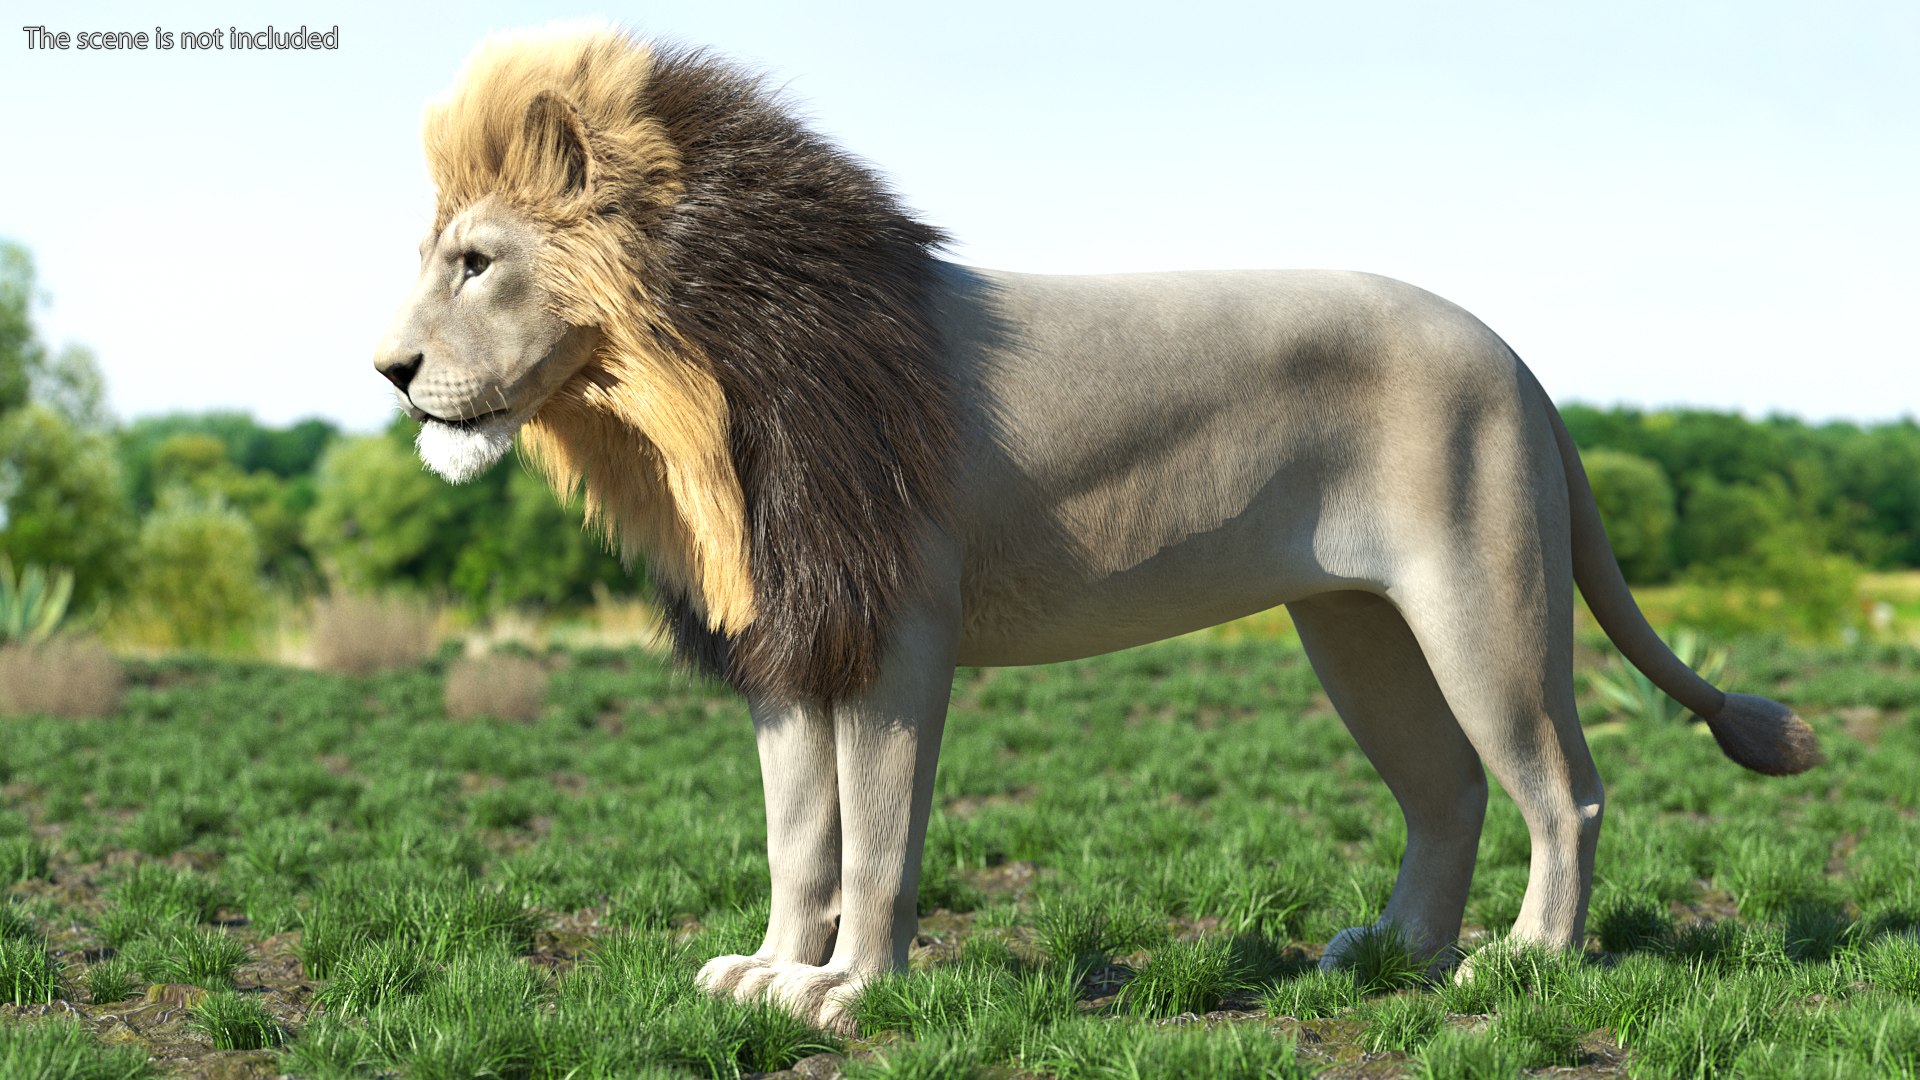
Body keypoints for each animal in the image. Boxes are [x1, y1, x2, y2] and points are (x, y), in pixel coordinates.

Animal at [374, 27, 1820, 1031]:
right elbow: (798, 836)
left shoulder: (898, 635)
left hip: (1482, 605)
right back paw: (1392, 954)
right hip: (1355, 624)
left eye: (476, 264)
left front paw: (853, 993)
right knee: (1450, 789)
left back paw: (1521, 967)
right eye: (437, 258)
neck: (695, 392)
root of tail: (1522, 364)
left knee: (1563, 789)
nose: (388, 370)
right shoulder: (790, 640)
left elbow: (879, 834)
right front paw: (770, 972)